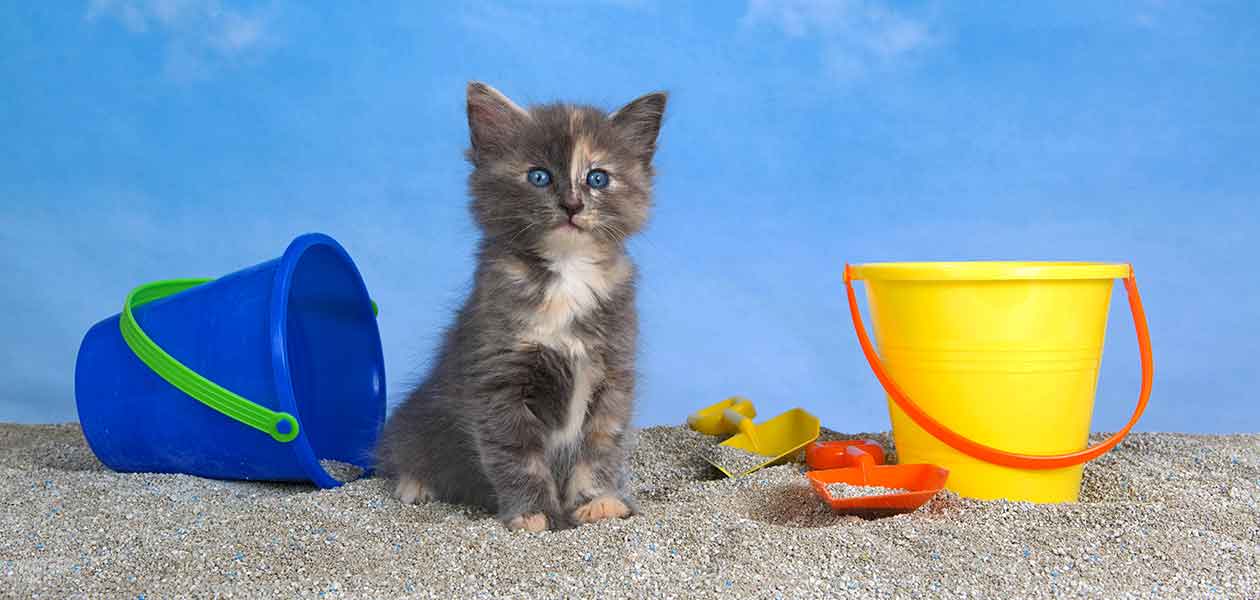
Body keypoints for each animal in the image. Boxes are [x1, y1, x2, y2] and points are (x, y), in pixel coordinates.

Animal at [375, 81, 665, 531]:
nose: (572, 204)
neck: (567, 272)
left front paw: (600, 502)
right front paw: (534, 513)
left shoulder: (614, 370)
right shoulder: (499, 377)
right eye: (539, 176)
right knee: (402, 449)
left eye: (598, 178)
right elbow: (516, 454)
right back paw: (414, 484)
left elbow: (602, 443)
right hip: (419, 416)